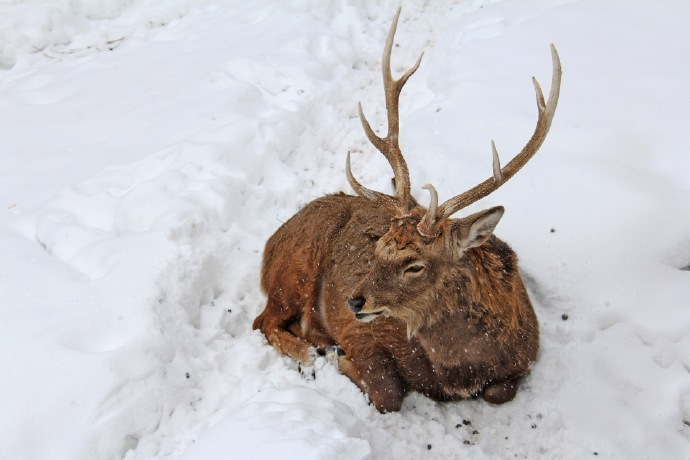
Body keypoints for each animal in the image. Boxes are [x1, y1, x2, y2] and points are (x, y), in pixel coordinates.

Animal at [253, 9, 560, 414]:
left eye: (415, 264)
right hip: (293, 271)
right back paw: (311, 353)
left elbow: (498, 392)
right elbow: (388, 393)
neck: (463, 369)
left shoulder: (528, 355)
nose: (353, 299)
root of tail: (270, 243)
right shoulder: (364, 331)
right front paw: (340, 359)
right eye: (378, 246)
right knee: (263, 321)